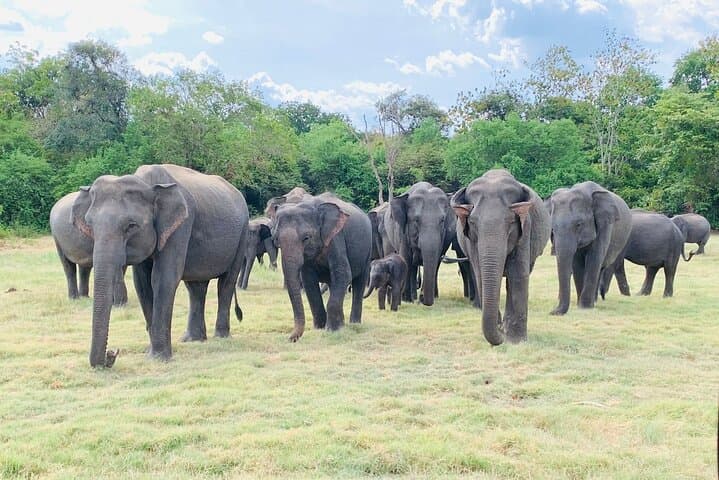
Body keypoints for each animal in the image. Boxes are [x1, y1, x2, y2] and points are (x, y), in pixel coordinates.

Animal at [71, 164, 249, 367]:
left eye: (131, 226)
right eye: (90, 225)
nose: (112, 354)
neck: (146, 182)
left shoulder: (180, 226)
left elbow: (163, 278)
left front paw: (159, 357)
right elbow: (142, 284)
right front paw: (152, 353)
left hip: (242, 234)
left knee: (226, 283)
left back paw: (221, 336)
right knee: (196, 288)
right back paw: (192, 339)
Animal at [272, 192, 372, 341]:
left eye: (306, 238)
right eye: (276, 239)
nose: (291, 339)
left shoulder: (336, 238)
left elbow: (343, 274)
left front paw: (332, 330)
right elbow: (309, 281)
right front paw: (320, 328)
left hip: (367, 251)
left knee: (359, 282)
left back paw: (355, 324)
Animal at [451, 169, 550, 345]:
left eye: (510, 222)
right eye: (473, 222)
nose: (500, 333)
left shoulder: (526, 228)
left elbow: (518, 273)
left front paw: (516, 341)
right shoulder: (471, 240)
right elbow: (480, 274)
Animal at [547, 181, 631, 315]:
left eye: (578, 224)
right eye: (553, 228)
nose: (552, 312)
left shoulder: (605, 224)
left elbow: (594, 258)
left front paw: (585, 307)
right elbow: (577, 263)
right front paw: (579, 304)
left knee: (600, 267)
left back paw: (594, 301)